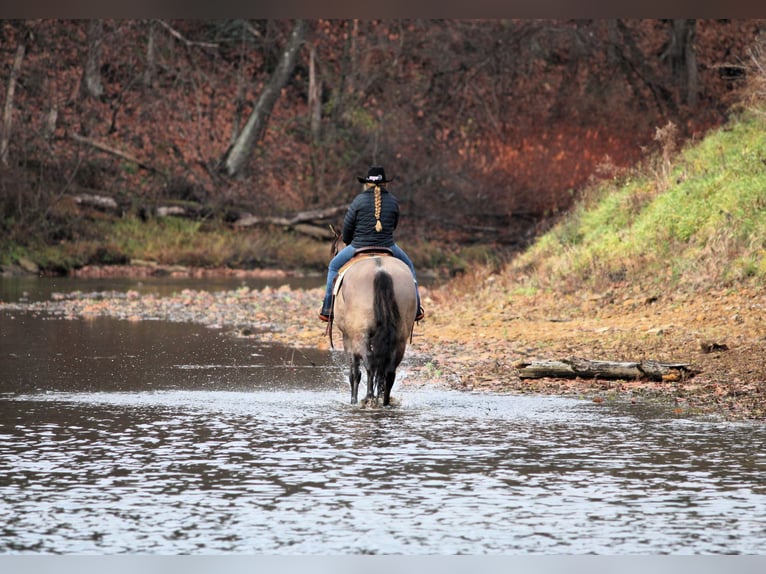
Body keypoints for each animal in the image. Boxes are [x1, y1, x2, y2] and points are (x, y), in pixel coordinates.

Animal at [330, 253, 417, 406]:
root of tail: (381, 271)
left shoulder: (348, 338)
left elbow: (354, 372)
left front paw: (353, 400)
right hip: (399, 338)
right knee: (389, 370)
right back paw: (384, 401)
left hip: (360, 334)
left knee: (370, 362)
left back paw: (369, 397)